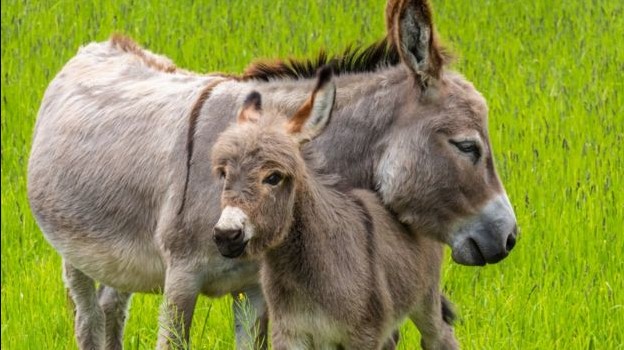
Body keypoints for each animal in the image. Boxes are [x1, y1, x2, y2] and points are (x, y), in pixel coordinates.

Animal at [211, 66, 458, 350]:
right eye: (223, 174)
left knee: (440, 335)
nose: (226, 235)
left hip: (425, 298)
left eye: (273, 177)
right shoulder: (290, 333)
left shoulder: (362, 335)